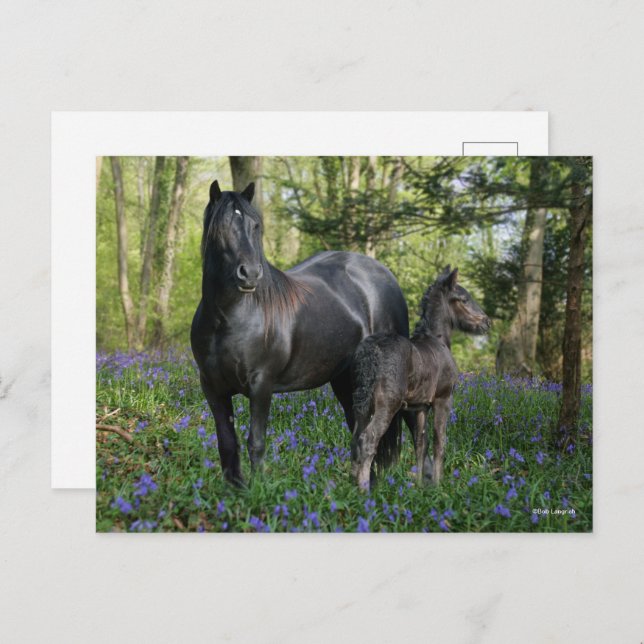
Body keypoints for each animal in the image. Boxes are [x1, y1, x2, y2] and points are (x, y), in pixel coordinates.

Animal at [190, 180, 409, 485]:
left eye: (255, 225)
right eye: (222, 226)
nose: (250, 274)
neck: (230, 318)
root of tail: (384, 275)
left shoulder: (261, 385)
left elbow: (256, 442)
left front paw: (257, 491)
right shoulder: (212, 387)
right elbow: (227, 444)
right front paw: (236, 490)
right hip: (345, 379)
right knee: (360, 431)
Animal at [350, 266, 490, 490]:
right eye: (464, 299)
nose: (487, 322)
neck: (438, 340)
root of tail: (371, 352)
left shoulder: (420, 407)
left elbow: (420, 443)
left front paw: (419, 486)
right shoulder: (443, 399)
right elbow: (439, 441)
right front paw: (438, 484)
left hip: (361, 404)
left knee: (355, 439)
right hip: (387, 404)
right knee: (368, 439)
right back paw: (364, 489)